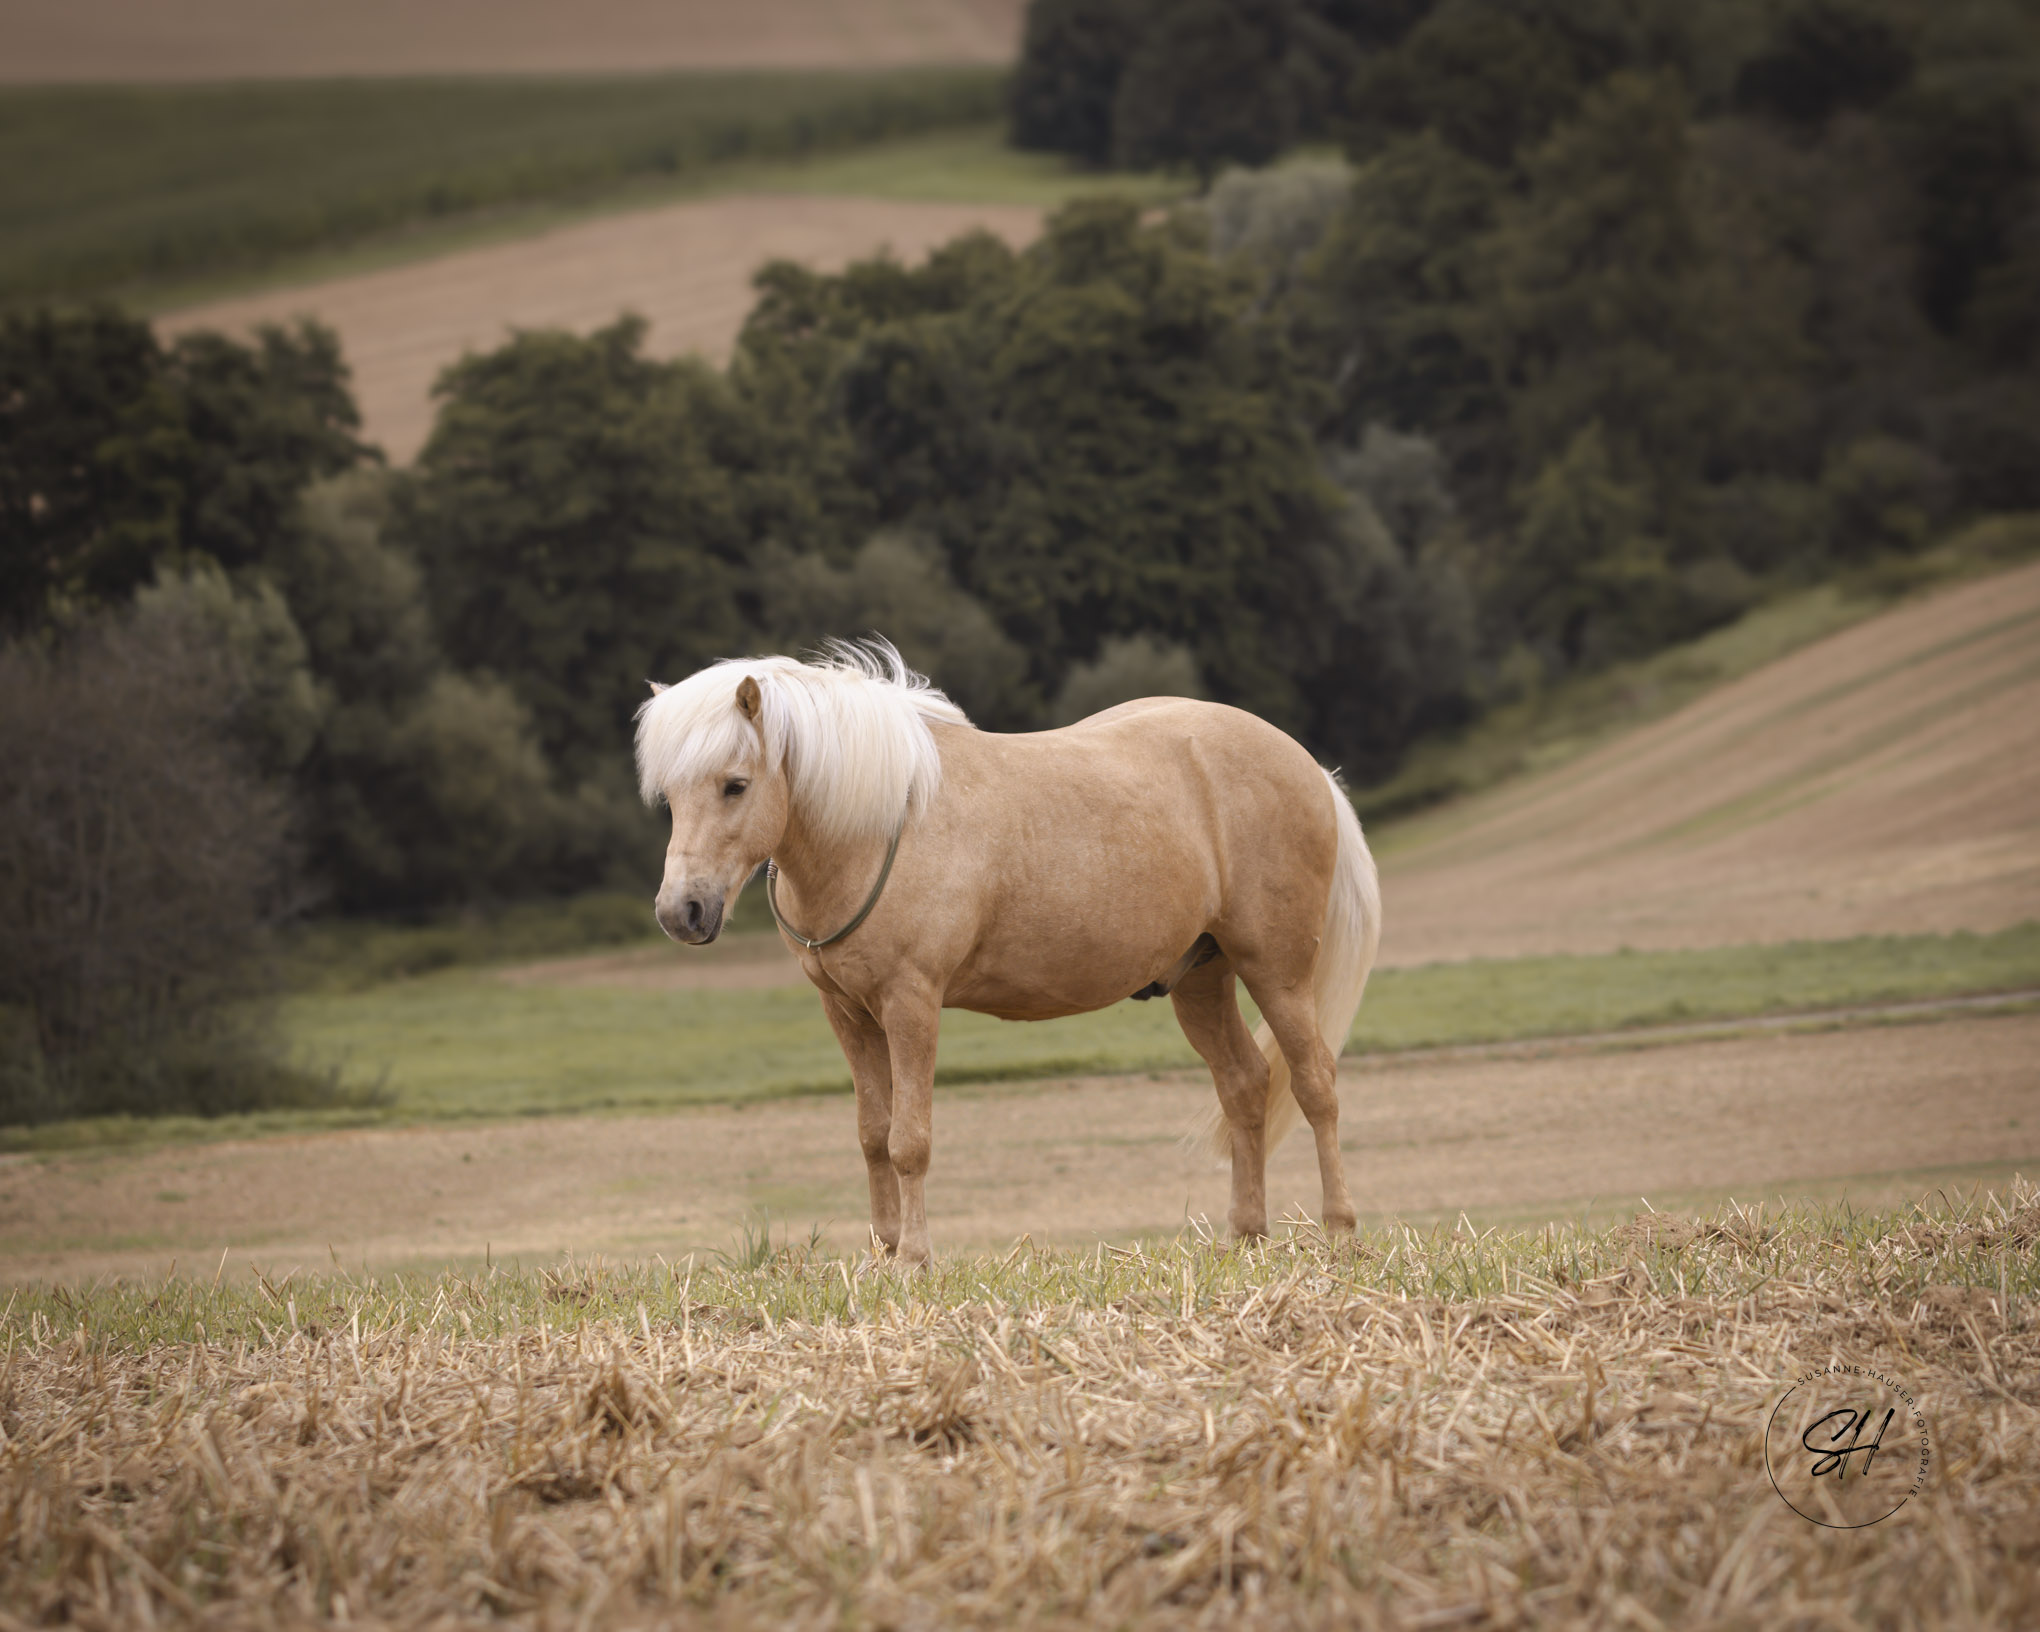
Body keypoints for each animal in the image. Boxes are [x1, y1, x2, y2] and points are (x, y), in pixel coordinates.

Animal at [628, 644, 1379, 1264]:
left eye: (735, 784)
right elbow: (873, 1135)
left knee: (1315, 1085)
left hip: (1276, 971)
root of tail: (1306, 764)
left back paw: (1341, 1232)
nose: (680, 912)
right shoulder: (846, 1012)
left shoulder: (910, 1004)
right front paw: (881, 1255)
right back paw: (1245, 1238)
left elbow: (909, 1141)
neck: (878, 826)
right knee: (1246, 1086)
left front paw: (913, 1260)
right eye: (671, 795)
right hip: (1203, 978)